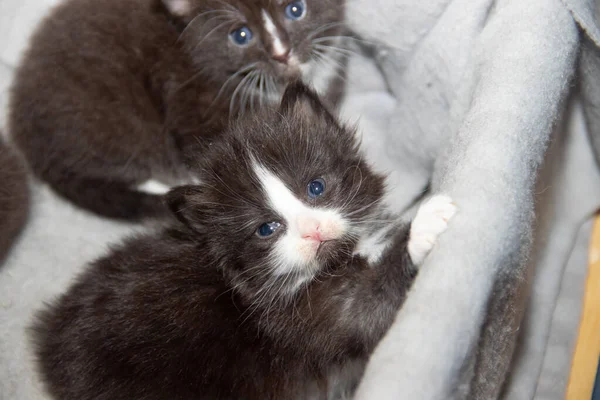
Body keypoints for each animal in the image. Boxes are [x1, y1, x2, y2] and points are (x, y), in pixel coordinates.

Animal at [31, 83, 454, 398]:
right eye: (266, 228)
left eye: (315, 187)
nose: (312, 230)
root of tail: (48, 344)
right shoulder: (301, 321)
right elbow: (367, 309)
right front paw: (423, 226)